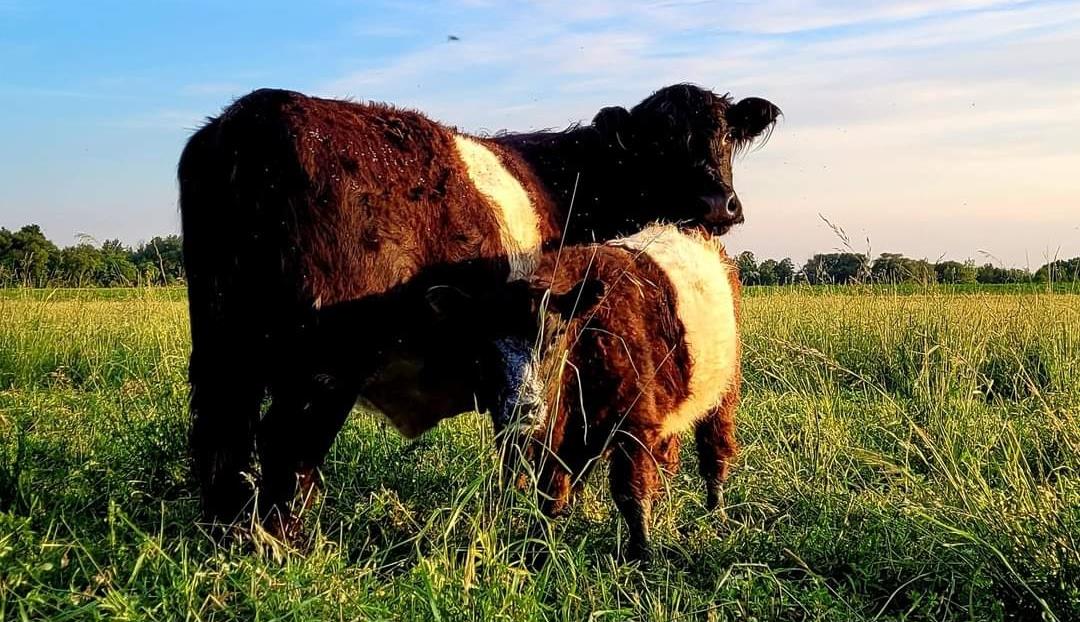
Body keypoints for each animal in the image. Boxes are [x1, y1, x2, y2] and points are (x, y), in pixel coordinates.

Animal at [181, 82, 781, 535]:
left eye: (726, 135)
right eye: (657, 144)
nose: (719, 204)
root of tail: (249, 119)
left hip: (221, 352)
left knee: (221, 444)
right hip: (321, 369)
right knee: (285, 452)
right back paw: (286, 551)